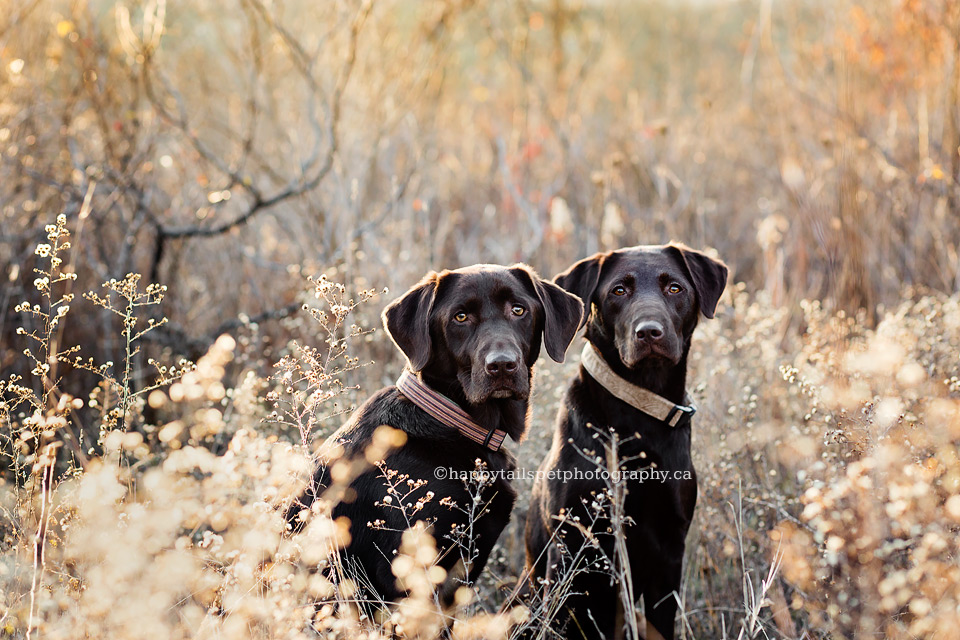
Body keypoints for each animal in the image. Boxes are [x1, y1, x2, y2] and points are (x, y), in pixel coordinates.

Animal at [524, 244, 728, 640]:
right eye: (618, 291)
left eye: (675, 288)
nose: (649, 332)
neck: (638, 412)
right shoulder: (568, 545)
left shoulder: (669, 550)